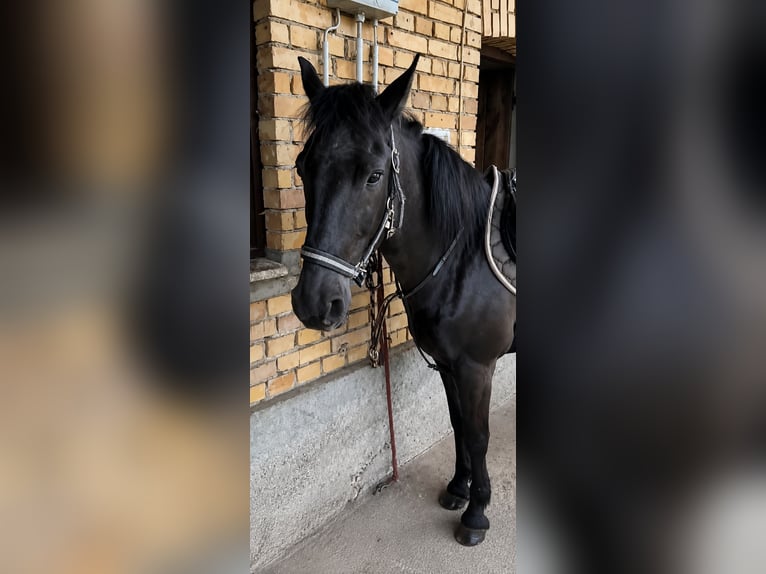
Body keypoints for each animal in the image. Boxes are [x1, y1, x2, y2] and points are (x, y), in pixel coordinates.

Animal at [290, 54, 516, 546]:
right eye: (301, 168)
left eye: (375, 175)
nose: (315, 303)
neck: (462, 256)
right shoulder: (448, 364)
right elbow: (457, 424)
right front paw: (458, 489)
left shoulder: (477, 367)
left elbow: (478, 435)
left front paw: (477, 513)